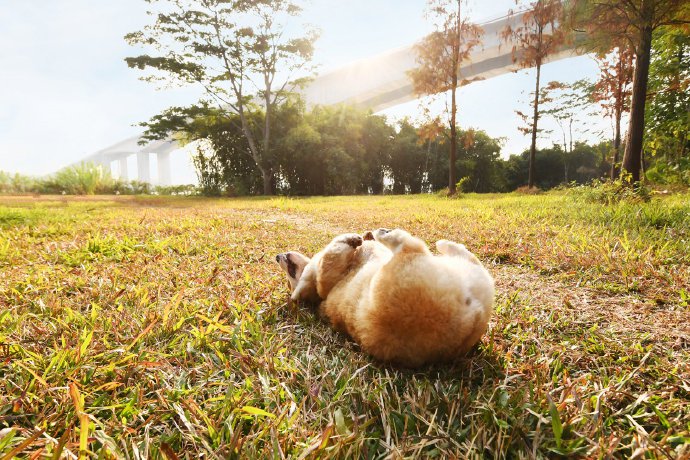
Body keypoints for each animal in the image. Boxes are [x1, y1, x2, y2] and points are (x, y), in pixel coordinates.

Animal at [272, 229, 490, 366]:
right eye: (291, 280)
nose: (277, 256)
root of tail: (470, 317)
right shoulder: (326, 276)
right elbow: (332, 255)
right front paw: (355, 239)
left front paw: (362, 237)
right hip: (404, 266)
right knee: (408, 244)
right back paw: (387, 234)